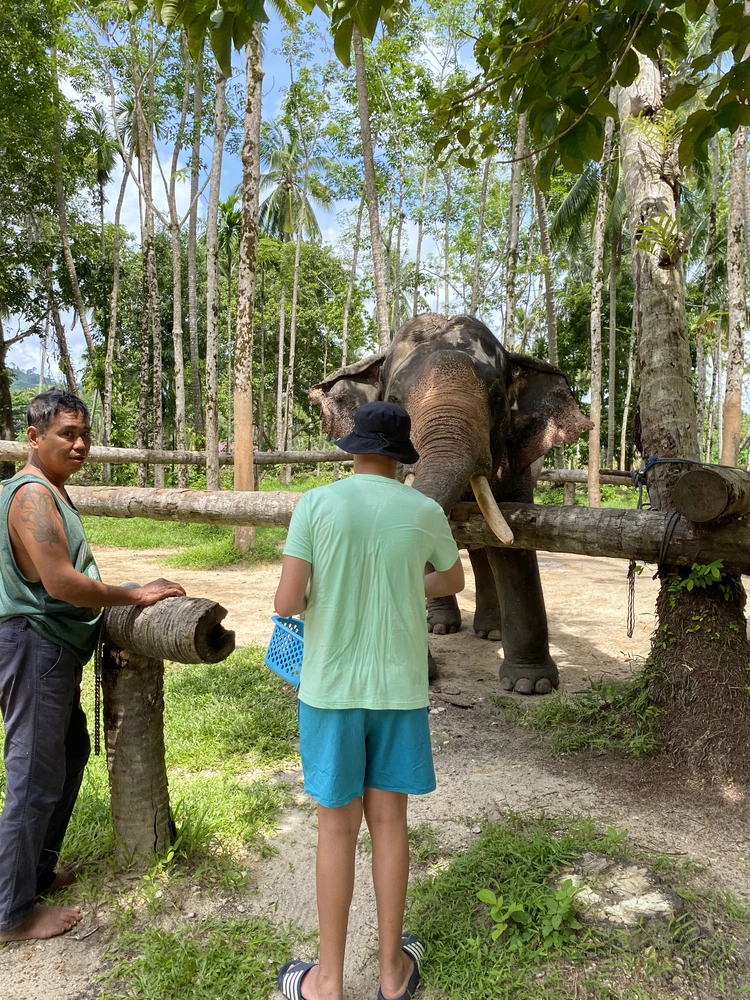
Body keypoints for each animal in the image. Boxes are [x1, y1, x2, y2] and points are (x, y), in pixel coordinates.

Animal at [310, 312, 592, 696]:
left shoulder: (515, 461)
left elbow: (514, 547)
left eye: (498, 400)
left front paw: (531, 685)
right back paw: (441, 626)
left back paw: (491, 632)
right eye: (393, 400)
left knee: (483, 549)